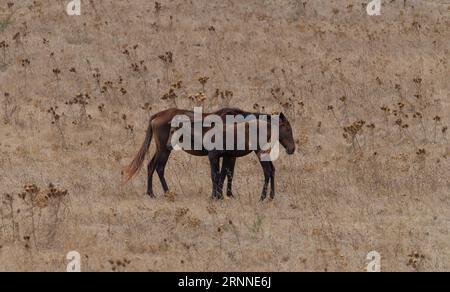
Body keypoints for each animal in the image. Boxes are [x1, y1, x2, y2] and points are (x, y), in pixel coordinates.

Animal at [167, 112, 298, 201]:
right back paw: (270, 197)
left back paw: (262, 198)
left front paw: (215, 197)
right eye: (287, 128)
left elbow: (215, 175)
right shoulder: (223, 156)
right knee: (272, 170)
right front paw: (219, 196)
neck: (207, 132)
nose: (292, 149)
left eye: (173, 131)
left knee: (268, 171)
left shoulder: (213, 156)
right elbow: (221, 175)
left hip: (260, 152)